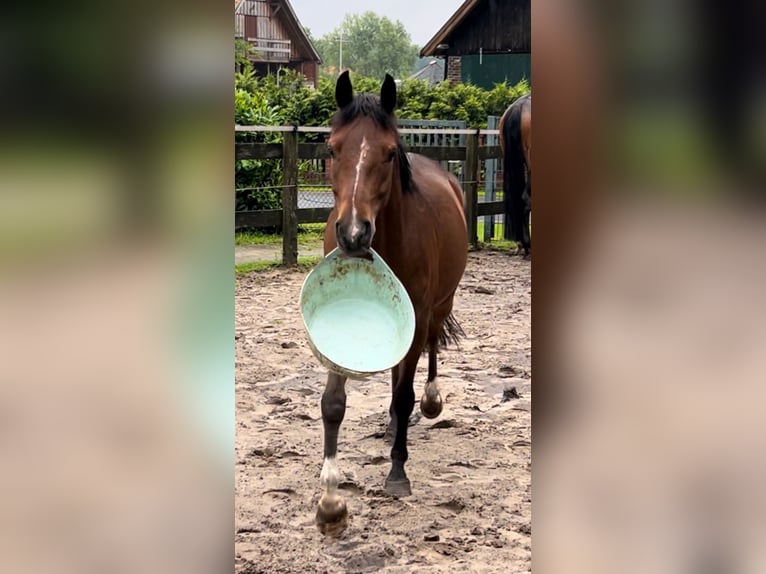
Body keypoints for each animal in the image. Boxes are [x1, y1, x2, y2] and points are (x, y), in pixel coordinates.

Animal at [316, 71, 468, 536]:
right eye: (332, 148)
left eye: (386, 153)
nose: (353, 233)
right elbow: (333, 405)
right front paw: (330, 502)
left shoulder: (416, 318)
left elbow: (404, 394)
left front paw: (397, 474)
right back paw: (388, 427)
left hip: (438, 307)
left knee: (429, 351)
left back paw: (429, 402)